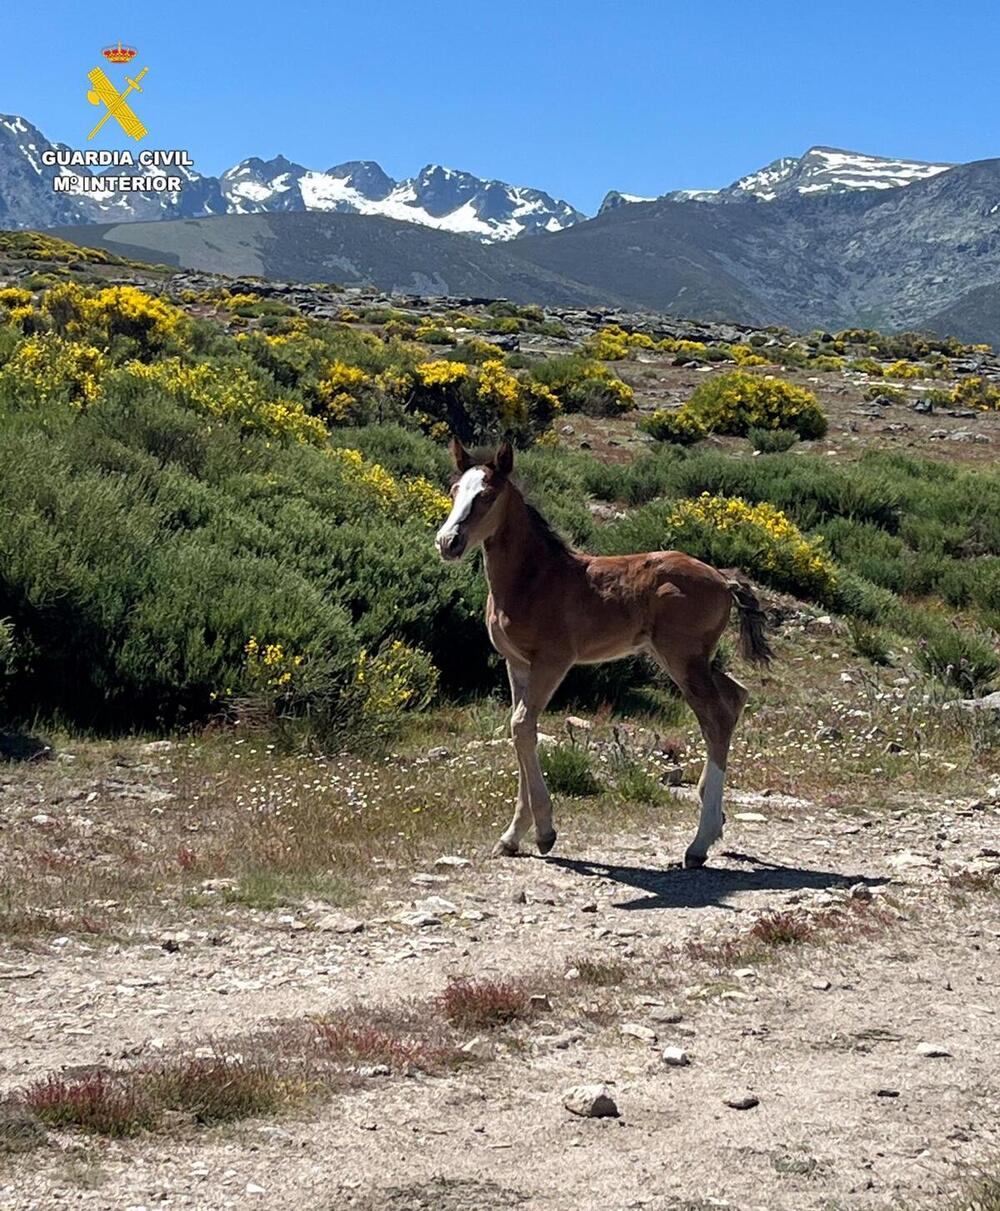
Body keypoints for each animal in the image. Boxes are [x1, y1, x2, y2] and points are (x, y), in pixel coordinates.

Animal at [433, 440, 769, 867]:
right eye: (454, 490)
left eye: (486, 496)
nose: (447, 542)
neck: (533, 579)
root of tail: (724, 581)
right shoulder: (518, 664)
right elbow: (520, 729)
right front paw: (512, 836)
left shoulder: (553, 661)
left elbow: (522, 725)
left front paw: (545, 833)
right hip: (691, 659)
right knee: (736, 695)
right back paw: (715, 821)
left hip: (683, 659)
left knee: (716, 717)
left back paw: (697, 844)